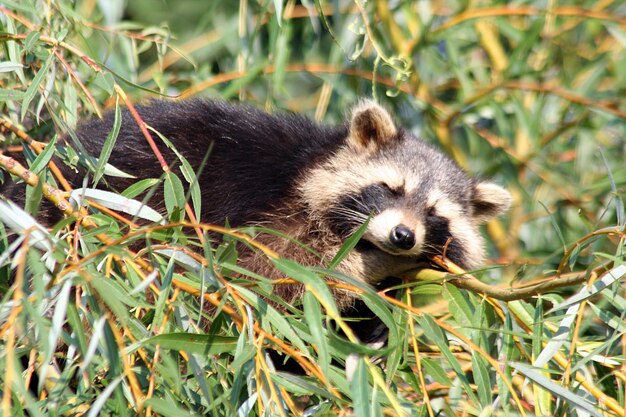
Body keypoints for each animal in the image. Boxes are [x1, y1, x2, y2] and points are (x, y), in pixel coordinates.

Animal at [1, 99, 508, 320]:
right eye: (389, 188)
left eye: (435, 214)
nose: (403, 237)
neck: (312, 161)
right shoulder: (273, 208)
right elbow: (270, 272)